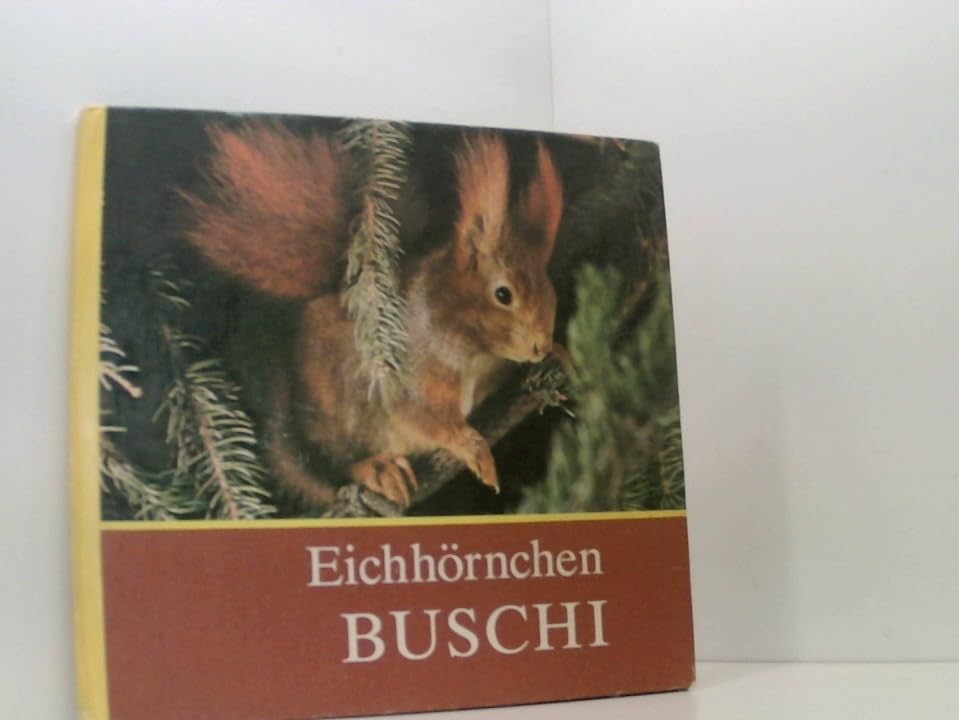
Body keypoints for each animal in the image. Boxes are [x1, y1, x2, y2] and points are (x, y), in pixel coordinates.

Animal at [181, 123, 564, 510]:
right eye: (503, 294)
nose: (540, 345)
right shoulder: (406, 380)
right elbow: (427, 420)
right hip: (338, 416)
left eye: (550, 288)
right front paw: (474, 449)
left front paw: (562, 355)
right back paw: (378, 470)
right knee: (334, 467)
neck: (475, 354)